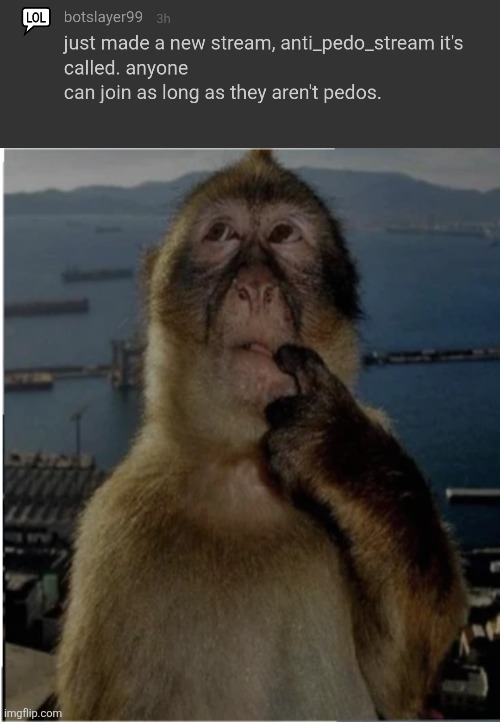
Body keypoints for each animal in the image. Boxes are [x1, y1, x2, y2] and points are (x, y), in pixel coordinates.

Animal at [57, 149, 468, 720]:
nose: (255, 286)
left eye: (282, 234)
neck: (242, 471)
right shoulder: (112, 535)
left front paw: (341, 450)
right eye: (222, 234)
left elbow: (399, 682)